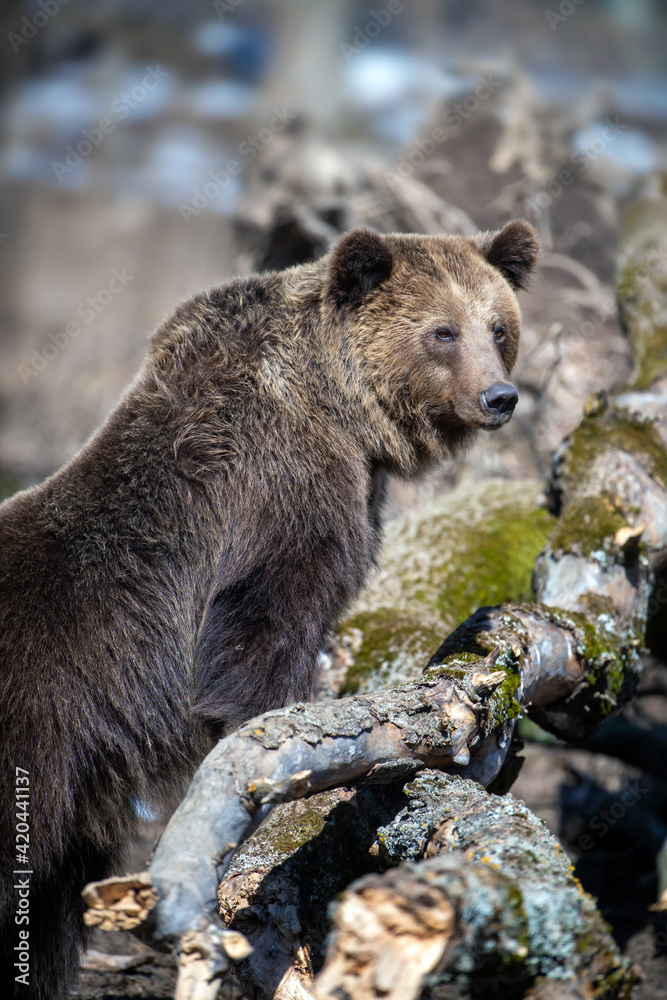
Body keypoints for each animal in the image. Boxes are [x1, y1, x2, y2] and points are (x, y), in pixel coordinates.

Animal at [0, 220, 538, 999]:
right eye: (442, 331)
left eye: (498, 327)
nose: (499, 396)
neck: (339, 408)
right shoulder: (281, 484)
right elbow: (266, 618)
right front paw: (290, 736)